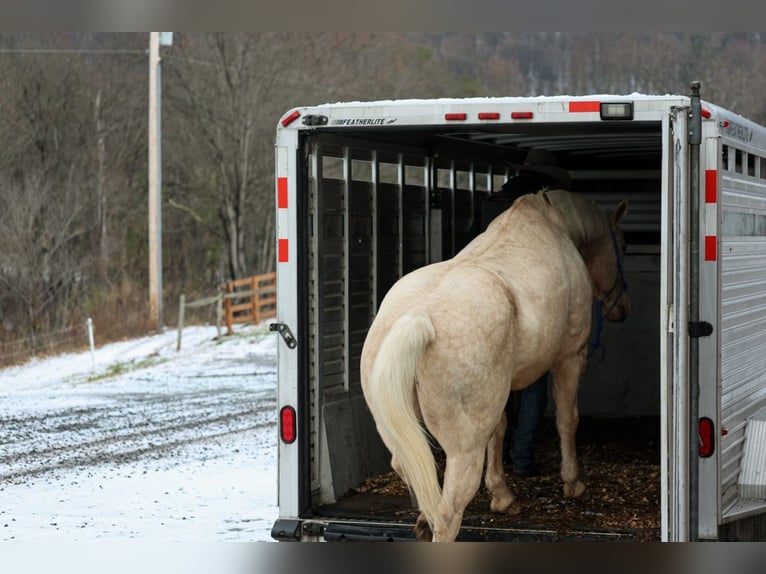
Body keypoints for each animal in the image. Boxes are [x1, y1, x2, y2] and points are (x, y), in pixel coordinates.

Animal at [359, 188, 630, 542]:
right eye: (622, 245)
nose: (622, 309)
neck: (556, 226)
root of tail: (418, 318)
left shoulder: (499, 390)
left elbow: (499, 428)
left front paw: (502, 496)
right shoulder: (570, 357)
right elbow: (567, 420)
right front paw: (573, 483)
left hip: (397, 429)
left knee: (406, 467)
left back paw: (423, 519)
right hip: (463, 452)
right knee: (449, 512)